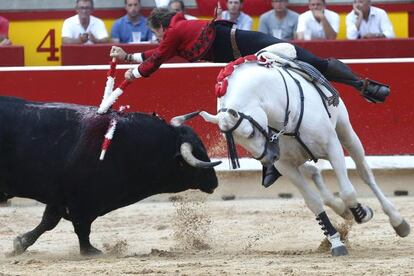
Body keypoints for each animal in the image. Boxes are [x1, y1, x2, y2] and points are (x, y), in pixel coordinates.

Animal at [0, 96, 220, 256]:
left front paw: (20, 243)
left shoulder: (61, 197)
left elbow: (50, 221)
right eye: (199, 154)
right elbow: (80, 226)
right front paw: (90, 251)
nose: (215, 182)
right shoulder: (81, 200)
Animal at [172, 48, 410, 256]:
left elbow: (348, 191)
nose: (268, 159)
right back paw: (342, 210)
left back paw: (397, 220)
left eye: (249, 132)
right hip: (300, 159)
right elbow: (313, 202)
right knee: (315, 173)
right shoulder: (285, 166)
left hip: (346, 132)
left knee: (364, 174)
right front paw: (335, 242)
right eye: (234, 142)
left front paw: (362, 213)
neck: (281, 111)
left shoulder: (332, 146)